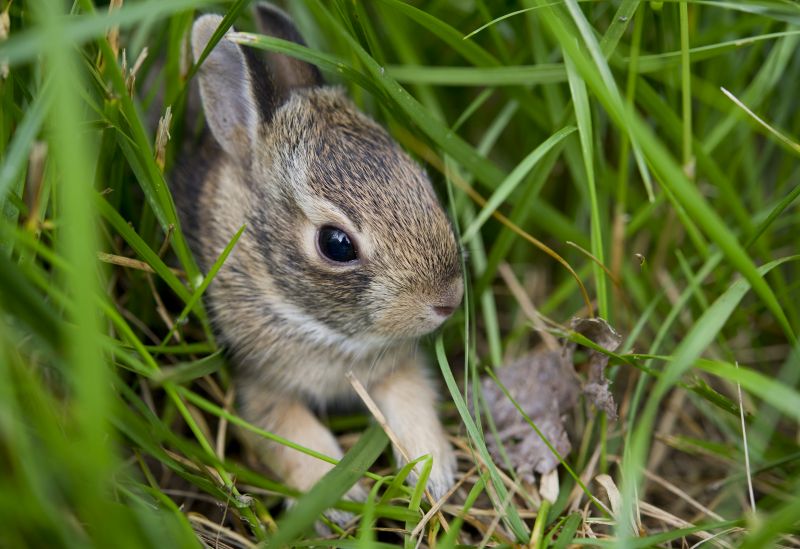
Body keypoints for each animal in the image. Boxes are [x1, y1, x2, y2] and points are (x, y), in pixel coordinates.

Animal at [175, 4, 462, 508]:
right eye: (336, 244)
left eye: (421, 180)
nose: (448, 301)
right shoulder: (258, 382)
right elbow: (288, 433)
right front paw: (337, 501)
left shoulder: (396, 367)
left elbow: (411, 399)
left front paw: (434, 472)